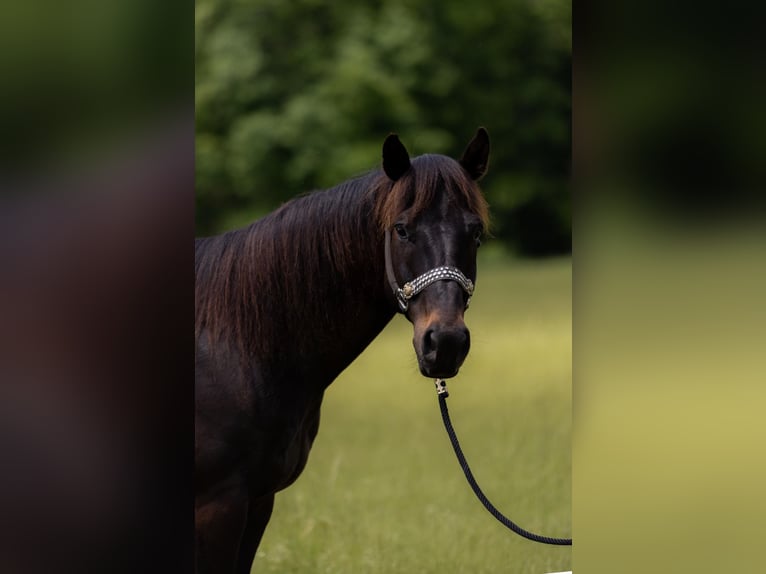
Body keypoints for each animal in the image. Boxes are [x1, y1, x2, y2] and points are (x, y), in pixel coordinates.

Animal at [195, 128, 488, 572]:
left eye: (474, 232)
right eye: (402, 230)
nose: (446, 342)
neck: (232, 346)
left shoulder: (258, 501)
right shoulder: (217, 507)